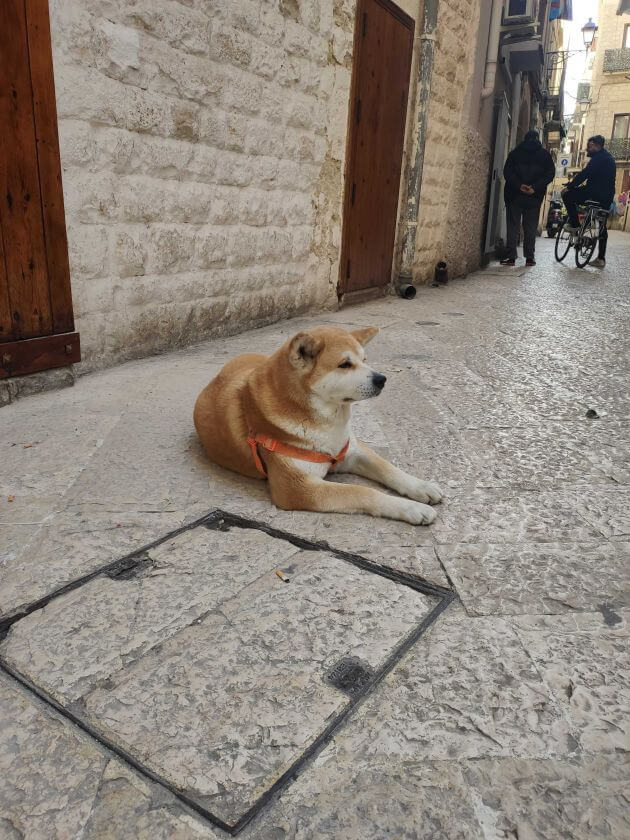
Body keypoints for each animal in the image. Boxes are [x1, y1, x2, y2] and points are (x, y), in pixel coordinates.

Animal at [194, 324, 444, 524]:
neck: (327, 422)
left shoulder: (351, 451)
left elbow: (389, 468)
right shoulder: (298, 488)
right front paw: (412, 508)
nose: (381, 379)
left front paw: (421, 487)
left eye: (364, 361)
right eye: (345, 364)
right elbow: (362, 492)